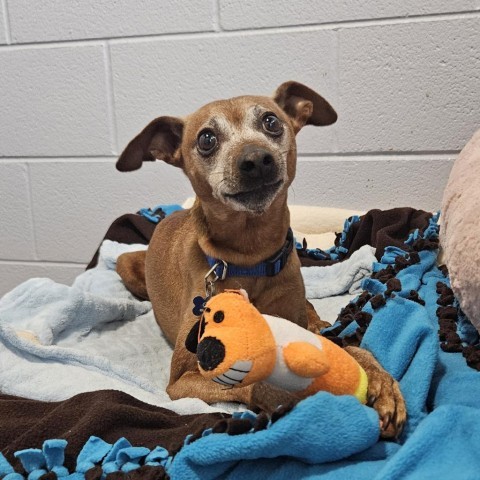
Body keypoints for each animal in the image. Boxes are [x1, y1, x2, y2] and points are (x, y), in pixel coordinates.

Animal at [115, 80, 404, 436]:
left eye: (271, 121)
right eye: (206, 138)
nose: (256, 159)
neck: (251, 256)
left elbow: (348, 347)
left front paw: (381, 381)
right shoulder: (180, 381)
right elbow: (249, 383)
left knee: (313, 315)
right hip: (125, 265)